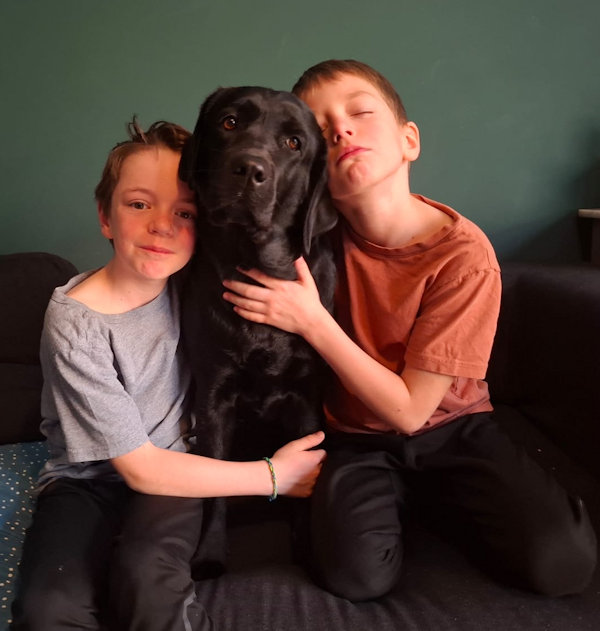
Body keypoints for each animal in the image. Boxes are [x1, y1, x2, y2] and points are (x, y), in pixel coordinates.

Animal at [178, 86, 337, 571]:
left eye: (293, 143)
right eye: (229, 122)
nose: (250, 169)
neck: (257, 270)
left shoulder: (305, 397)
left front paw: (306, 548)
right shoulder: (213, 396)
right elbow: (217, 487)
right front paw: (210, 553)